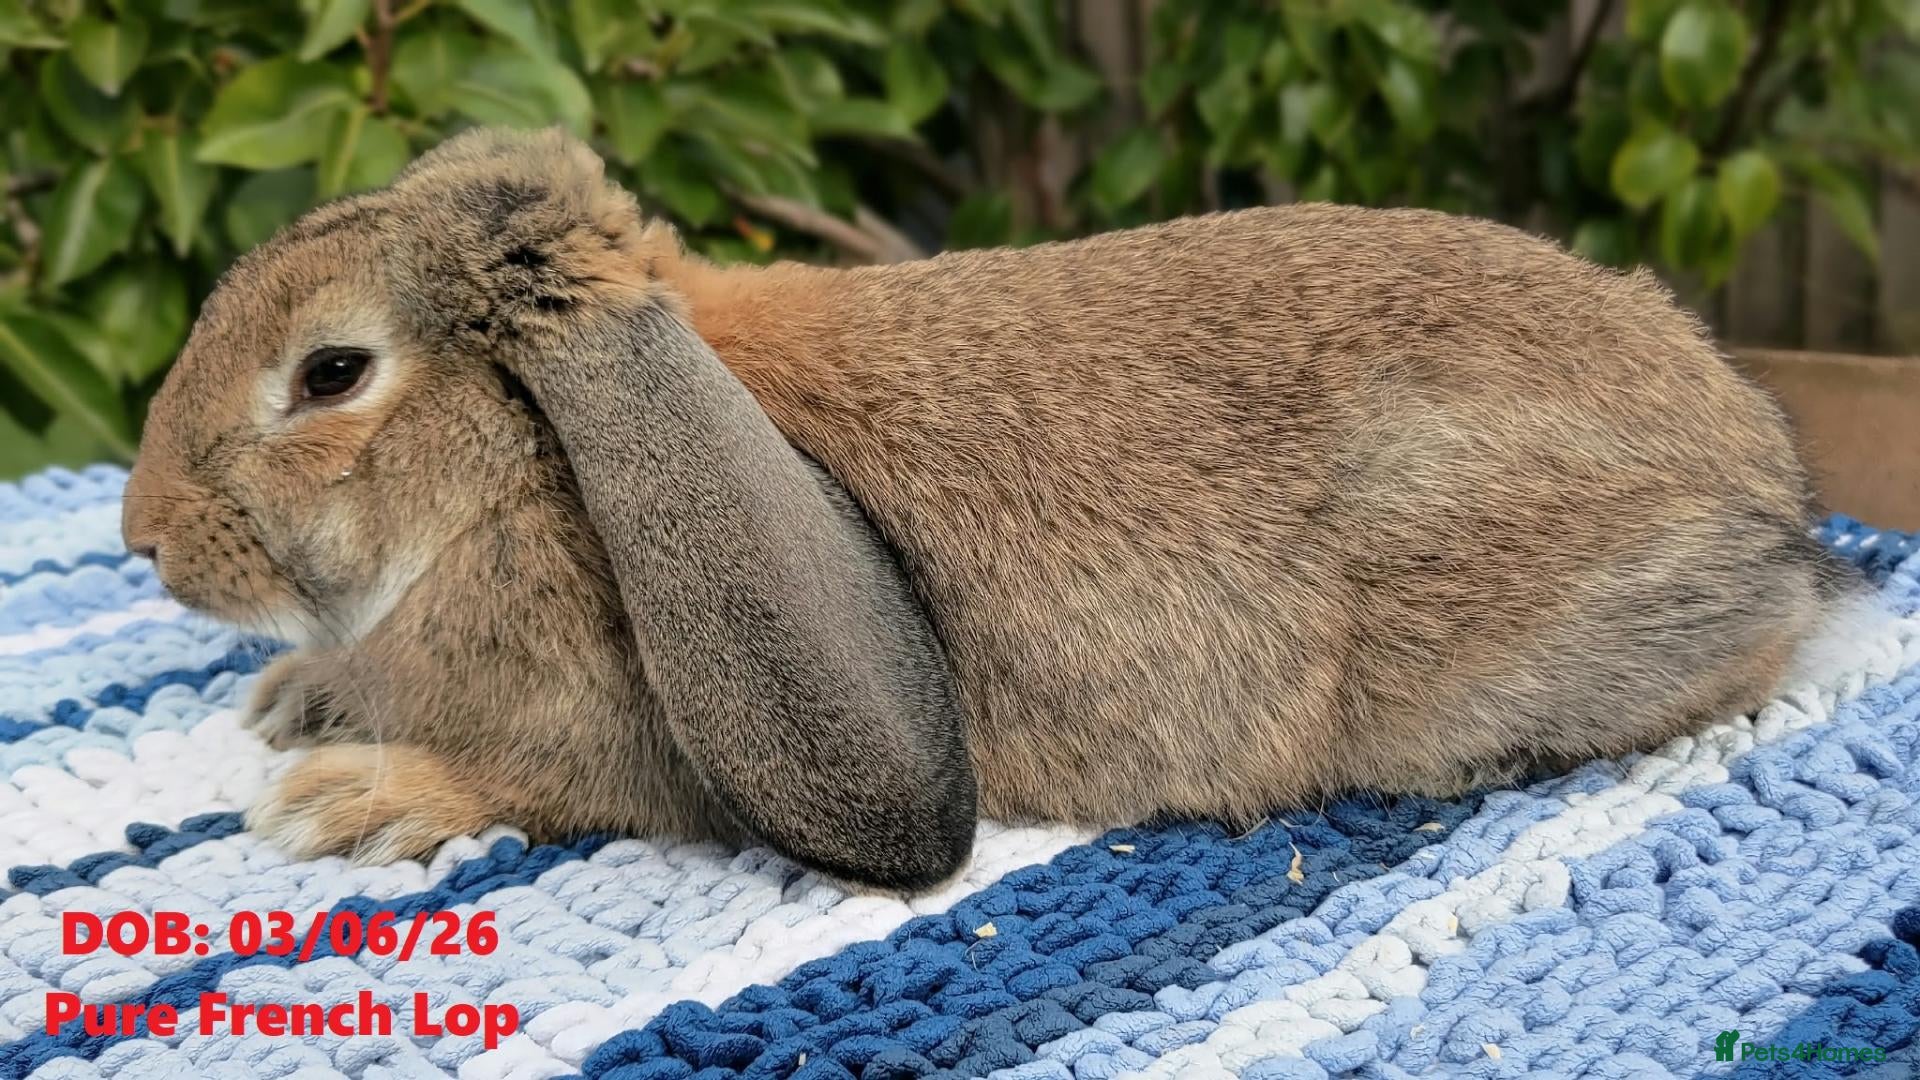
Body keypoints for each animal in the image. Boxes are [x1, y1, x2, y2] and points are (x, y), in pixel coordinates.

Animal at [123, 126, 1843, 891]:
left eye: (332, 372)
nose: (140, 535)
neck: (522, 459)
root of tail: (1764, 488)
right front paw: (298, 703)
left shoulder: (635, 744)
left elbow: (547, 787)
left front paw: (356, 799)